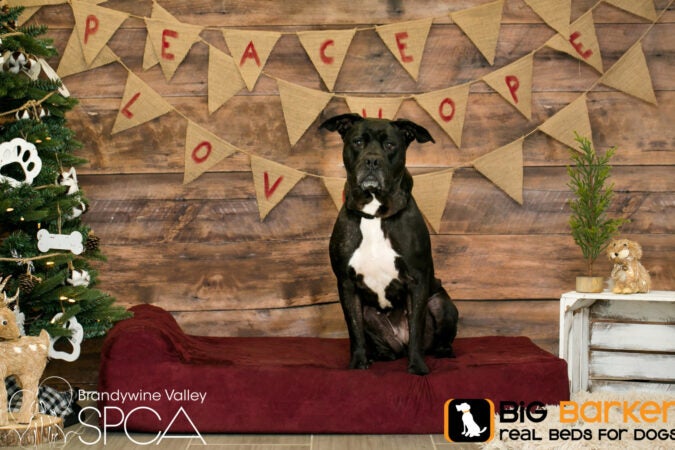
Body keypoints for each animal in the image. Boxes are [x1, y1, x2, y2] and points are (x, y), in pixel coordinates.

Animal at [320, 114, 460, 374]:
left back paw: (442, 351)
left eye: (390, 145)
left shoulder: (417, 281)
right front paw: (358, 363)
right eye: (357, 142)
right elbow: (354, 331)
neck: (375, 214)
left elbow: (415, 329)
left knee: (435, 333)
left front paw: (417, 367)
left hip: (441, 303)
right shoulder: (347, 285)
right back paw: (380, 355)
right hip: (368, 313)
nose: (372, 160)